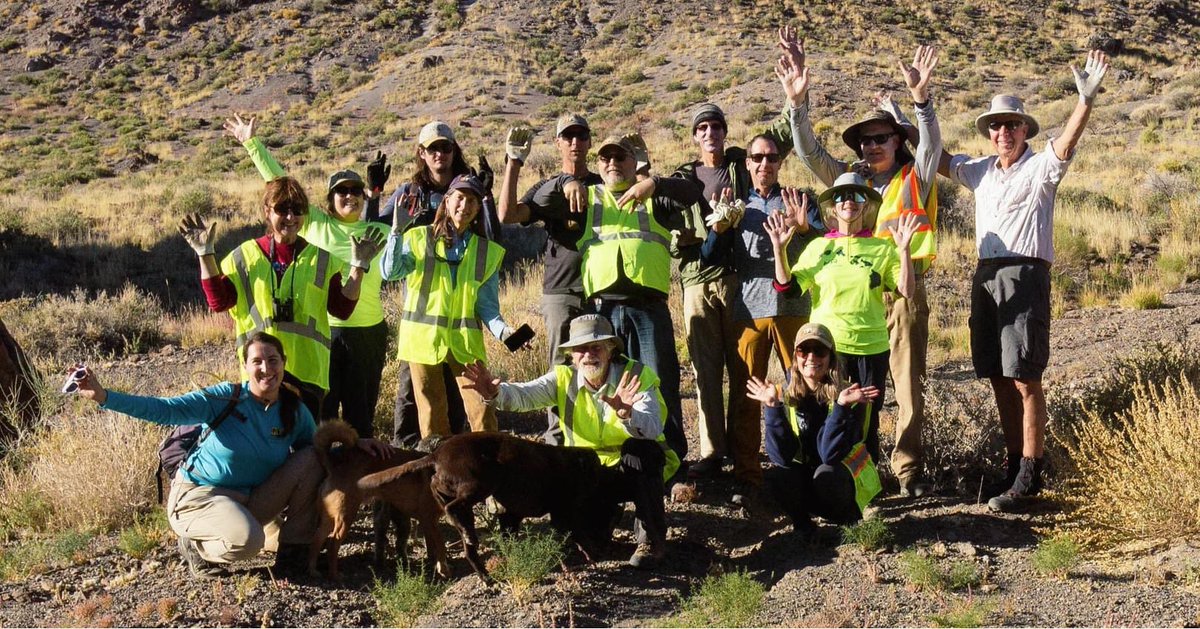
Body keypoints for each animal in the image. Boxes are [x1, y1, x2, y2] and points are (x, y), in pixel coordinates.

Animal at [309, 422, 451, 580]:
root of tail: (335, 466)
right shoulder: (429, 520)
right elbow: (440, 545)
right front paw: (444, 570)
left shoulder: (428, 522)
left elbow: (432, 546)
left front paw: (434, 563)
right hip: (346, 516)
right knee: (333, 543)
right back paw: (335, 575)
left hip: (329, 518)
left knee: (317, 540)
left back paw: (313, 570)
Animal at [355, 429, 619, 583]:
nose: (608, 544)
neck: (577, 464)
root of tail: (436, 455)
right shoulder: (562, 513)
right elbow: (578, 533)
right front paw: (592, 553)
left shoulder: (511, 516)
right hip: (484, 480)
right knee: (453, 508)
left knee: (465, 541)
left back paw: (484, 574)